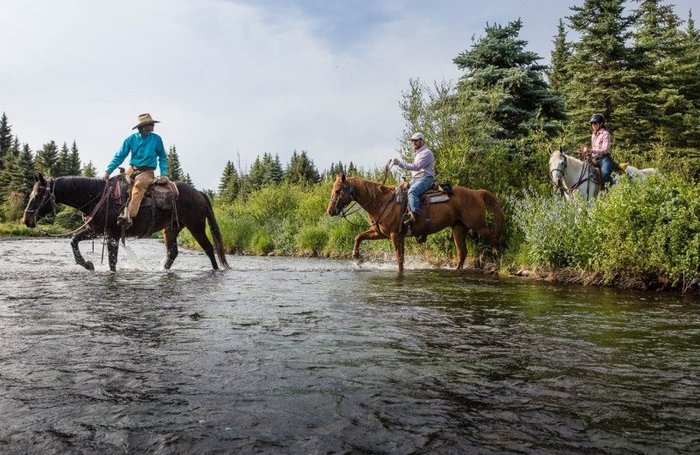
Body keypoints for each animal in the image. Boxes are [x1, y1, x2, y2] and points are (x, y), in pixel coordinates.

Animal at [23, 175, 230, 272]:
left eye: (39, 194)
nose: (26, 219)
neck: (96, 197)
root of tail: (199, 193)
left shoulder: (113, 235)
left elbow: (112, 262)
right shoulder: (96, 231)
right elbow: (73, 241)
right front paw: (88, 264)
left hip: (196, 226)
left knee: (209, 248)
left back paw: (216, 269)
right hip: (171, 229)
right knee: (172, 253)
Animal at [328, 176, 504, 272]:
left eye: (337, 190)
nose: (330, 211)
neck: (382, 202)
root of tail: (477, 193)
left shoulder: (395, 235)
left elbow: (399, 258)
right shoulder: (380, 233)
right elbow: (358, 236)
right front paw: (357, 258)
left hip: (478, 226)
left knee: (495, 240)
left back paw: (498, 261)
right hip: (458, 228)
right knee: (462, 252)